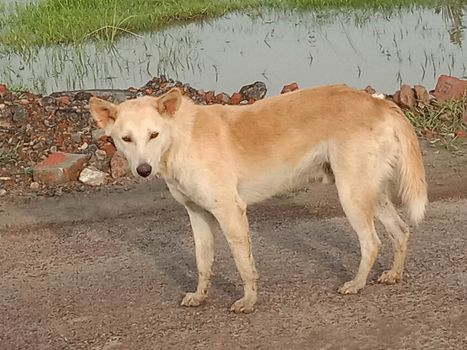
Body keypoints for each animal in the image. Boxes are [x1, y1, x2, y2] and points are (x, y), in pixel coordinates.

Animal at [89, 85, 430, 314]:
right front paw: (200, 295)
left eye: (153, 135)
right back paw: (394, 274)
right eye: (126, 139)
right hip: (371, 192)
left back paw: (357, 284)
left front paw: (249, 301)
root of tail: (377, 103)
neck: (181, 139)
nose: (143, 170)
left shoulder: (230, 212)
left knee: (372, 242)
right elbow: (202, 262)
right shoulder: (197, 215)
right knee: (401, 231)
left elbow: (243, 265)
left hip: (351, 194)